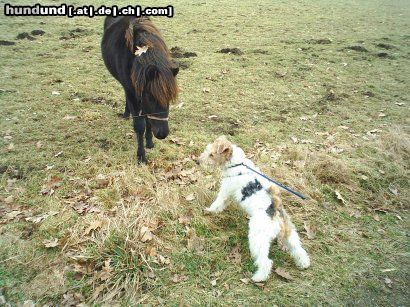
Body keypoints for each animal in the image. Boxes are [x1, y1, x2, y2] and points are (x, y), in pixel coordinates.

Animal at [101, 16, 178, 164]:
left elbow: (148, 120)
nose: (162, 134)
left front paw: (149, 142)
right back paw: (126, 113)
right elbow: (139, 125)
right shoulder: (133, 92)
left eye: (169, 98)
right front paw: (141, 156)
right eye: (151, 98)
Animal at [197, 136, 310, 282]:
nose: (197, 161)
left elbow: (217, 204)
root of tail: (274, 210)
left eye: (211, 154)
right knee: (298, 249)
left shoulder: (225, 192)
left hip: (257, 239)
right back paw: (303, 263)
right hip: (289, 233)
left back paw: (258, 277)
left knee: (266, 261)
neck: (237, 164)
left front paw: (209, 211)